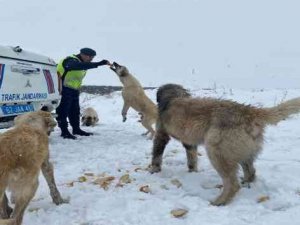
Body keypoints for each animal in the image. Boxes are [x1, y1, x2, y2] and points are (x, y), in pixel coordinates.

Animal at [150, 83, 300, 206]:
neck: (173, 97)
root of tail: (249, 111)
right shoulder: (189, 142)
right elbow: (192, 159)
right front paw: (192, 171)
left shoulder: (161, 135)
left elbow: (157, 155)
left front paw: (153, 170)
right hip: (244, 153)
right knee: (251, 172)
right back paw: (245, 183)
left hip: (217, 151)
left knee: (232, 184)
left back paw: (220, 201)